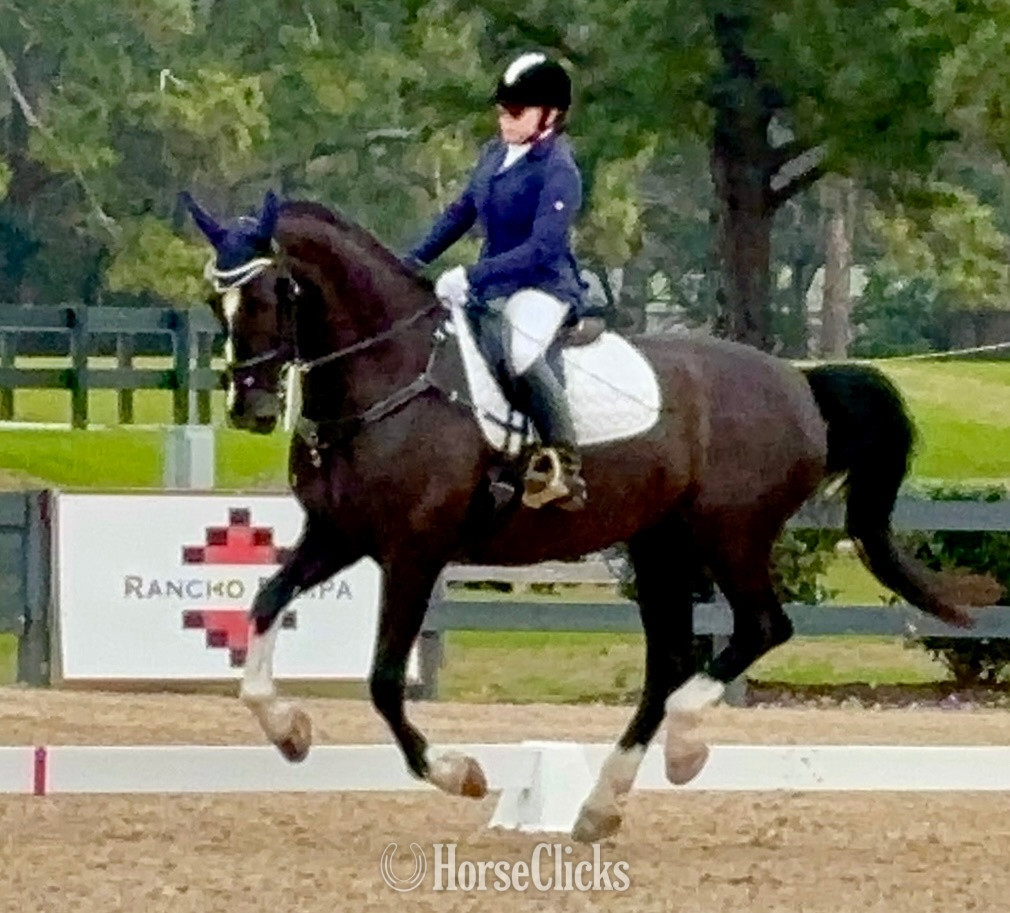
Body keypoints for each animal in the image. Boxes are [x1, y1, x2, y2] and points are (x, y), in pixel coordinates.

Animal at [183, 189, 995, 842]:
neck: (389, 376)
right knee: (670, 661)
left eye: (276, 291)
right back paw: (604, 803)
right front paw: (288, 730)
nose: (251, 410)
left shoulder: (414, 550)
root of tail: (799, 382)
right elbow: (265, 604)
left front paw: (457, 771)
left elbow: (384, 678)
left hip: (730, 535)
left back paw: (684, 749)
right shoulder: (338, 534)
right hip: (660, 544)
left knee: (762, 628)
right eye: (216, 301)